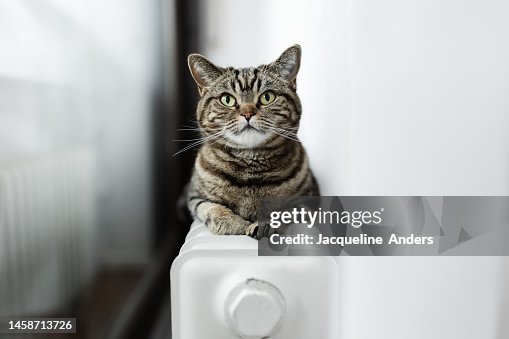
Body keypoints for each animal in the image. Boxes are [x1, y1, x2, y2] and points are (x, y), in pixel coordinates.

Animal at [185, 45, 318, 239]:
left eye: (267, 97)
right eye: (227, 99)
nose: (247, 113)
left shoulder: (310, 199)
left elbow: (288, 211)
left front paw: (266, 225)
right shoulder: (195, 197)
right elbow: (213, 209)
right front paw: (238, 225)